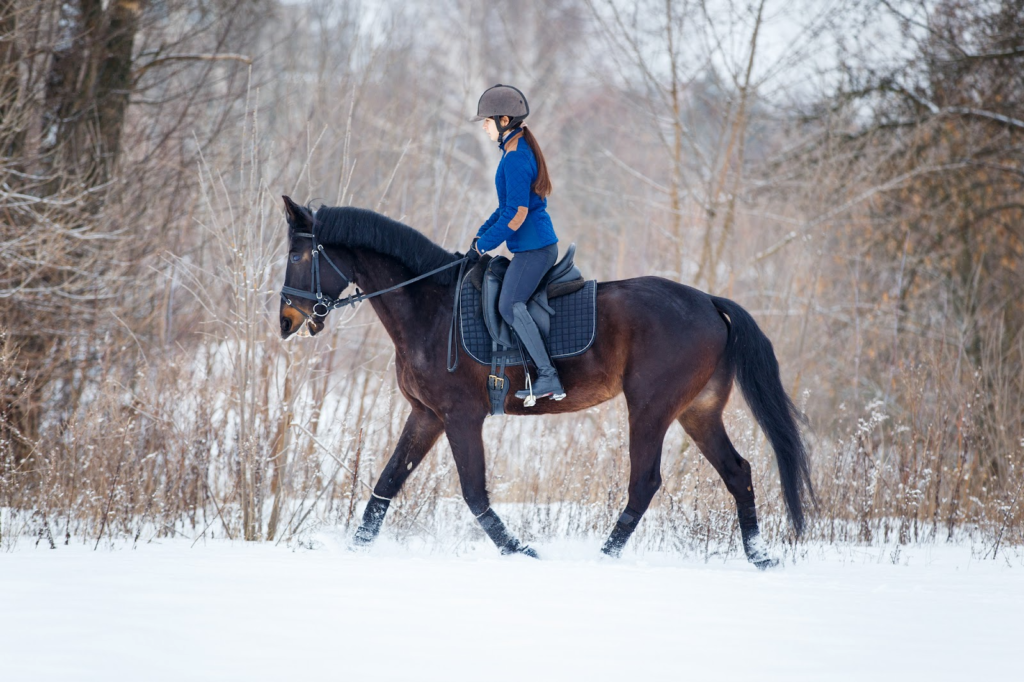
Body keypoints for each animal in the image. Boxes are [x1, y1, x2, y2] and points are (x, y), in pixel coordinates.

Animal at [278, 196, 813, 568]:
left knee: (644, 482)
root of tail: (707, 301)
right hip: (697, 411)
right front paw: (355, 548)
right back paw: (760, 556)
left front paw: (521, 552)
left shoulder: (460, 416)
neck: (429, 308)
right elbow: (386, 484)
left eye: (300, 256)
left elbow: (474, 493)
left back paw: (605, 556)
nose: (286, 321)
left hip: (651, 408)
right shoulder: (426, 414)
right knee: (738, 472)